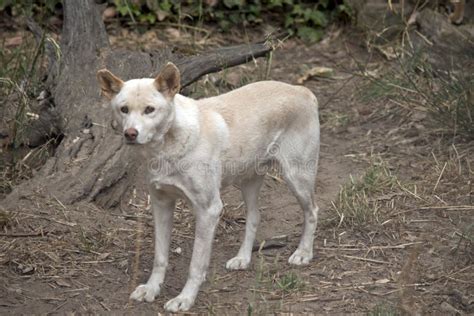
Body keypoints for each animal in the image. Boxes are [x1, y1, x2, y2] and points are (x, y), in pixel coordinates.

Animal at [96, 62, 320, 312]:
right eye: (124, 109)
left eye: (149, 110)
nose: (130, 134)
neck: (168, 148)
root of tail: (301, 91)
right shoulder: (161, 205)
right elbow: (160, 257)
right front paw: (152, 289)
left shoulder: (208, 210)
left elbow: (196, 264)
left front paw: (185, 299)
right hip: (248, 182)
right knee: (254, 217)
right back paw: (243, 259)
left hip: (297, 178)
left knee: (312, 212)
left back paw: (303, 253)